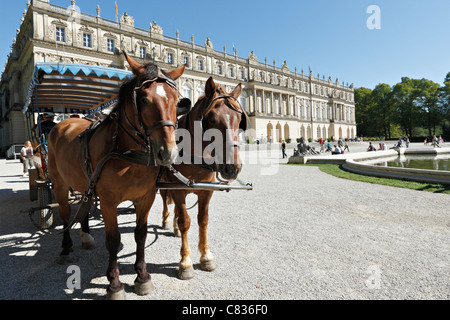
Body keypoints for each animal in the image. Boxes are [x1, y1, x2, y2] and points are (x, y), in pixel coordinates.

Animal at [47, 52, 185, 300]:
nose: (168, 152)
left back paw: (86, 236)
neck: (128, 155)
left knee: (84, 205)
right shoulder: (109, 202)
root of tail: (63, 122)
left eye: (177, 100)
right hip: (59, 184)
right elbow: (113, 239)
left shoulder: (145, 198)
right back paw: (66, 247)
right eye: (143, 99)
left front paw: (142, 276)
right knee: (64, 214)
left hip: (86, 183)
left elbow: (140, 234)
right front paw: (114, 284)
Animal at [161, 77, 248, 280]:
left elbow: (203, 220)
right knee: (166, 203)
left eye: (239, 119)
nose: (233, 168)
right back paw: (167, 222)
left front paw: (206, 256)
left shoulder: (206, 191)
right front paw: (185, 262)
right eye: (212, 119)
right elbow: (185, 222)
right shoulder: (178, 190)